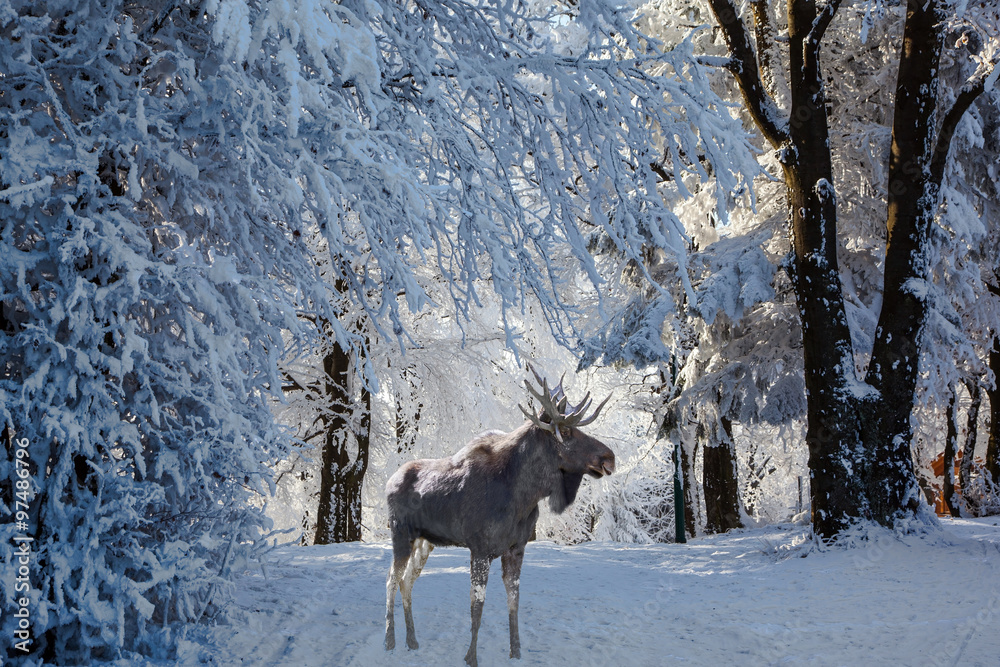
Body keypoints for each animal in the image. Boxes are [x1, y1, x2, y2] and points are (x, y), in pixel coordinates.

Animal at [383, 365, 615, 666]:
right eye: (565, 430)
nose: (609, 457)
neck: (523, 496)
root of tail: (389, 481)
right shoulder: (480, 549)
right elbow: (477, 604)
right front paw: (471, 656)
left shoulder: (516, 547)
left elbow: (514, 600)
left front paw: (516, 652)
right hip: (400, 534)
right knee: (391, 579)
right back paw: (389, 641)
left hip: (425, 542)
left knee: (406, 581)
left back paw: (412, 641)